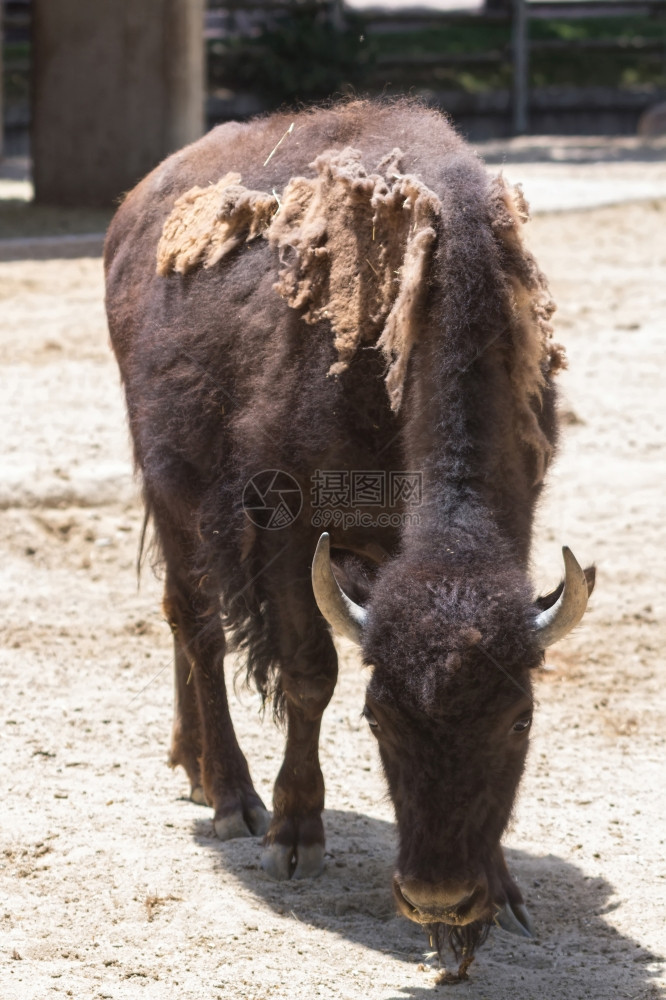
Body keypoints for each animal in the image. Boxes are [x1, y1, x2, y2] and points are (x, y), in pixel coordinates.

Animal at [104, 97, 592, 972]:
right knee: (196, 628)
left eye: (521, 720)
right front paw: (295, 835)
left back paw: (189, 763)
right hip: (174, 494)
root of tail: (136, 207)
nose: (440, 895)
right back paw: (230, 796)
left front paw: (499, 895)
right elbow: (309, 674)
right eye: (379, 719)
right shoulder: (292, 527)